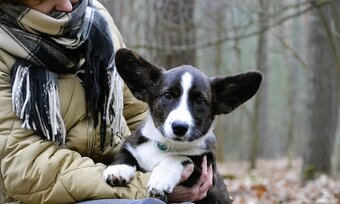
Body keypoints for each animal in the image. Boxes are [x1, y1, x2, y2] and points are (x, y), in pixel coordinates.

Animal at [103, 48, 262, 203]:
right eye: (167, 95)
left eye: (200, 100)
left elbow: (178, 157)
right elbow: (125, 155)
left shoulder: (203, 165)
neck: (166, 145)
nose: (179, 127)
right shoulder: (131, 146)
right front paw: (117, 169)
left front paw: (160, 179)